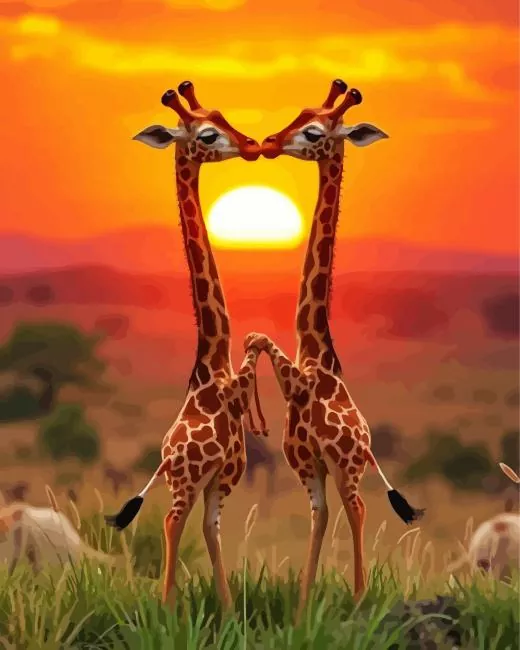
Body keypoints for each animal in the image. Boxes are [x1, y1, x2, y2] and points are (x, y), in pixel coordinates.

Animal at [104, 81, 268, 611]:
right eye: (208, 134)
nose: (252, 145)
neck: (214, 359)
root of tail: (164, 456)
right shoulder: (211, 468)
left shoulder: (227, 472)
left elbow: (214, 533)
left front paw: (229, 611)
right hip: (184, 476)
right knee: (170, 521)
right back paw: (166, 606)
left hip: (200, 478)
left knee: (193, 525)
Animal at [246, 79, 424, 621]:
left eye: (313, 131)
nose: (269, 142)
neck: (313, 348)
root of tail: (367, 443)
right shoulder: (306, 464)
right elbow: (318, 520)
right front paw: (302, 612)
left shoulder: (318, 432)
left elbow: (262, 340)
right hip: (335, 468)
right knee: (339, 513)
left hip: (349, 465)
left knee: (360, 509)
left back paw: (363, 598)